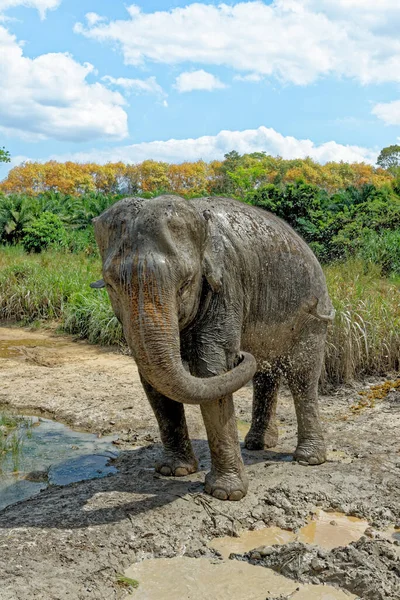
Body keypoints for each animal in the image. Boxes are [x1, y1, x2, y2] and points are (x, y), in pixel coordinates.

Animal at [91, 196, 334, 502]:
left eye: (185, 284)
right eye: (111, 286)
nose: (241, 354)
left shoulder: (227, 285)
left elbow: (211, 370)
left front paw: (225, 493)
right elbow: (151, 380)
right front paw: (174, 471)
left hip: (313, 311)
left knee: (303, 376)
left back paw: (307, 459)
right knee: (265, 374)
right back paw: (257, 444)